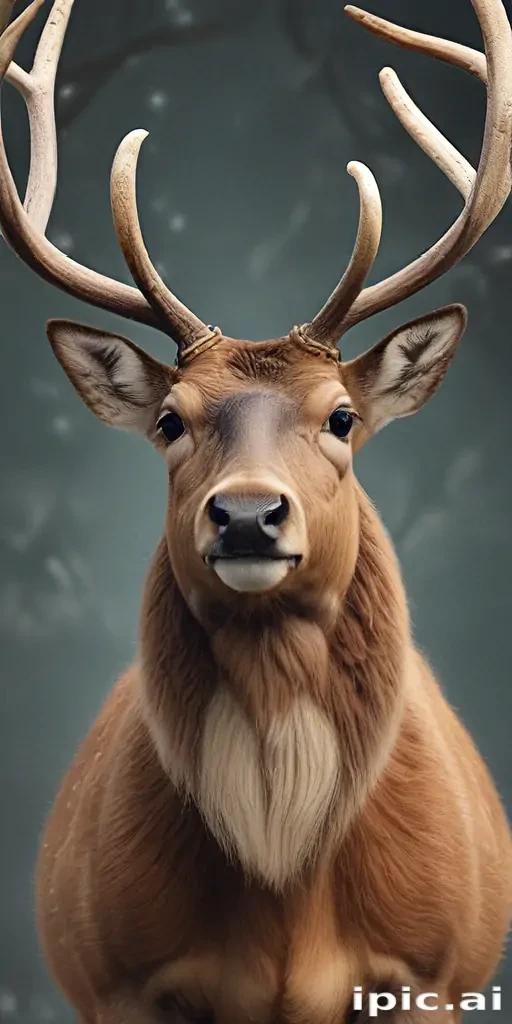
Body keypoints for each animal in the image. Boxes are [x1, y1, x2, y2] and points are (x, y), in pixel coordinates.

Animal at [1, 0, 511, 1020]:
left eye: (342, 416)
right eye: (170, 419)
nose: (244, 516)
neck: (285, 885)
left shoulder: (432, 969)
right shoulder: (118, 976)